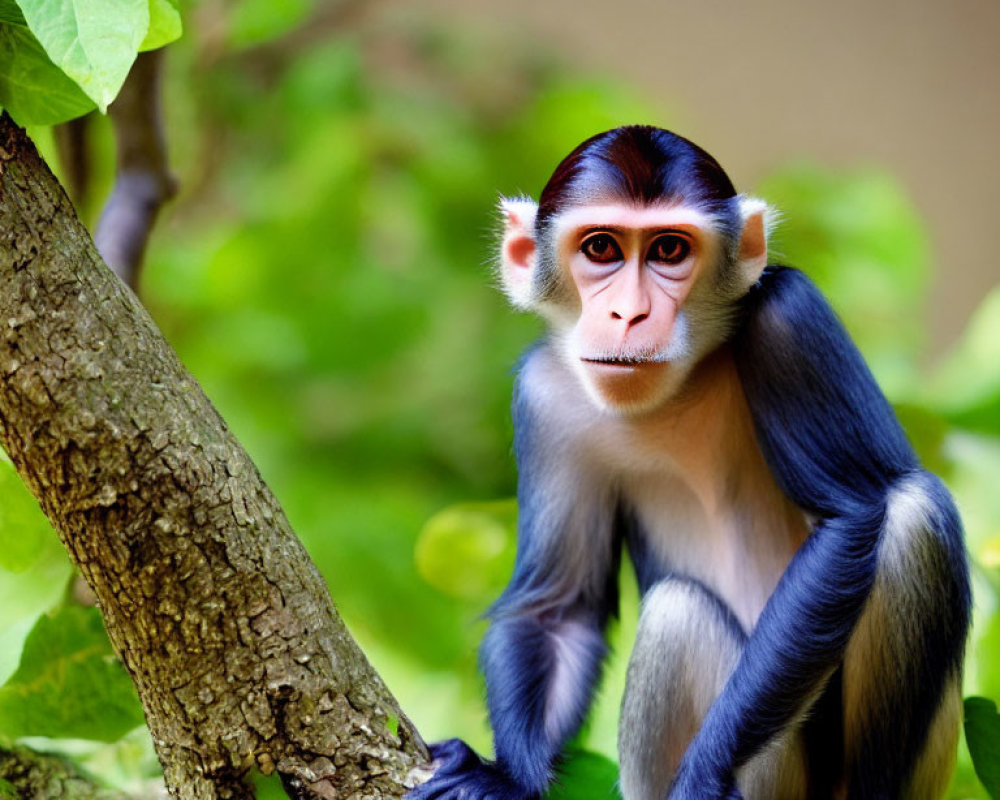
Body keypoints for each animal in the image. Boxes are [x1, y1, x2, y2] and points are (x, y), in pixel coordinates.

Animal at [406, 126, 968, 800]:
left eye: (670, 250)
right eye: (600, 248)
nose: (628, 314)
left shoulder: (789, 314)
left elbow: (852, 515)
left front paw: (700, 777)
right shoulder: (545, 396)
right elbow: (559, 608)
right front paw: (507, 778)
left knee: (911, 512)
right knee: (678, 610)